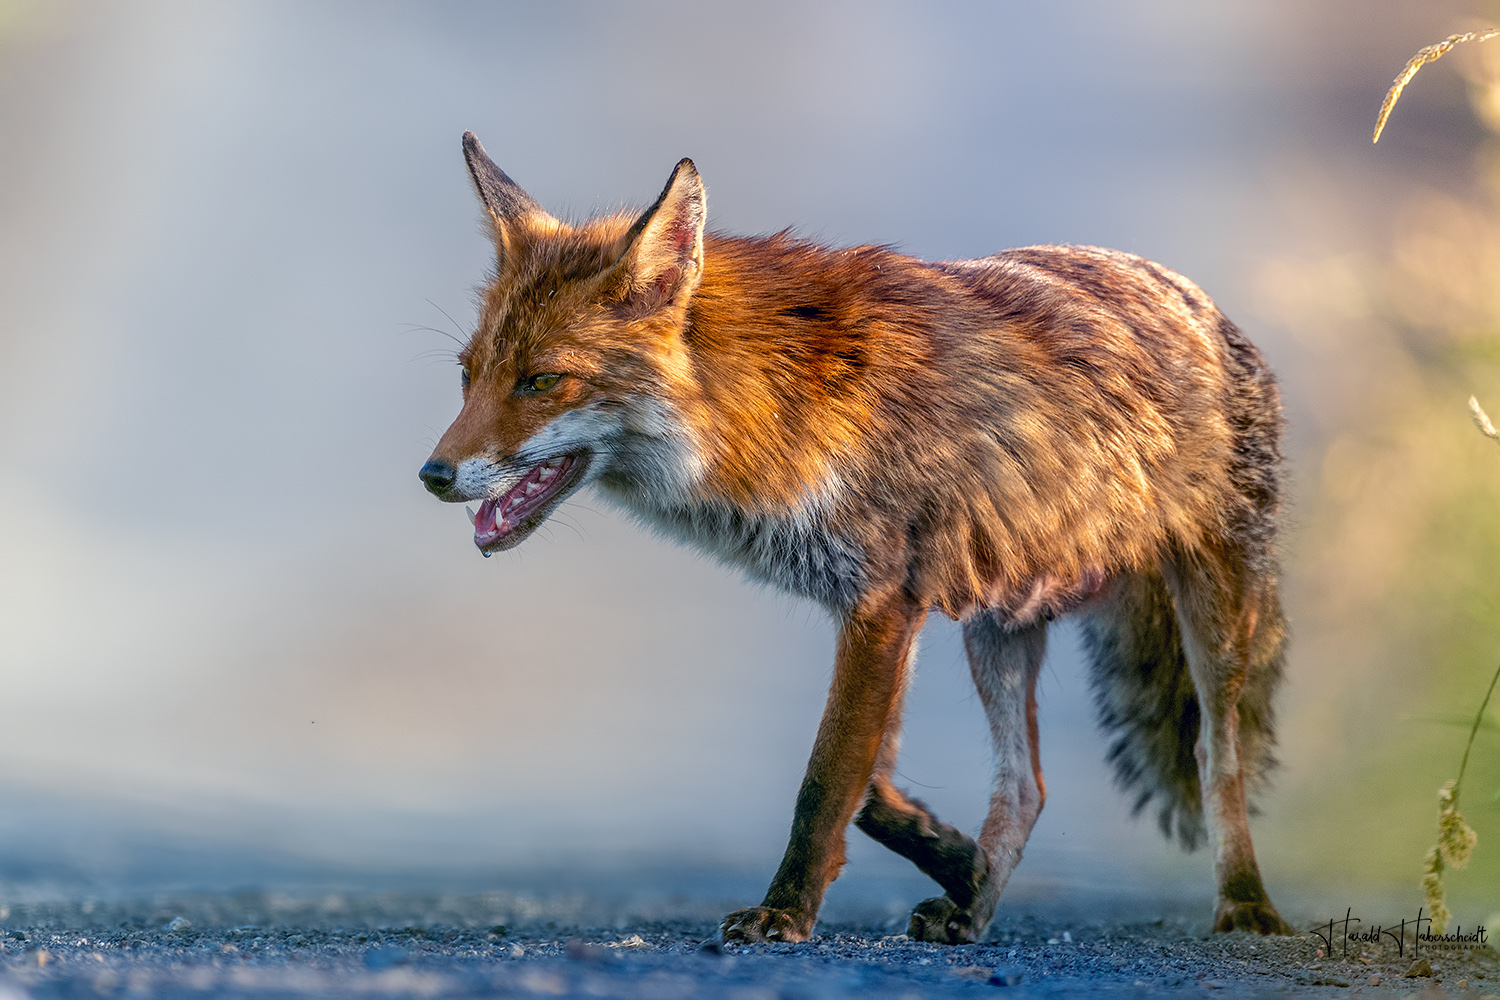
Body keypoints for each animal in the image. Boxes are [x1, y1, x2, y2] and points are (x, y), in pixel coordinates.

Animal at [420, 134, 1290, 947]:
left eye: (542, 382)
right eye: (467, 375)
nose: (432, 474)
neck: (774, 405)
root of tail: (1195, 298)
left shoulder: (881, 603)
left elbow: (828, 779)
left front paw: (785, 912)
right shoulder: (886, 611)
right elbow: (869, 788)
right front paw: (956, 859)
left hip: (1215, 618)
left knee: (1218, 762)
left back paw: (1247, 903)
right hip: (999, 626)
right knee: (1026, 788)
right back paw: (971, 909)